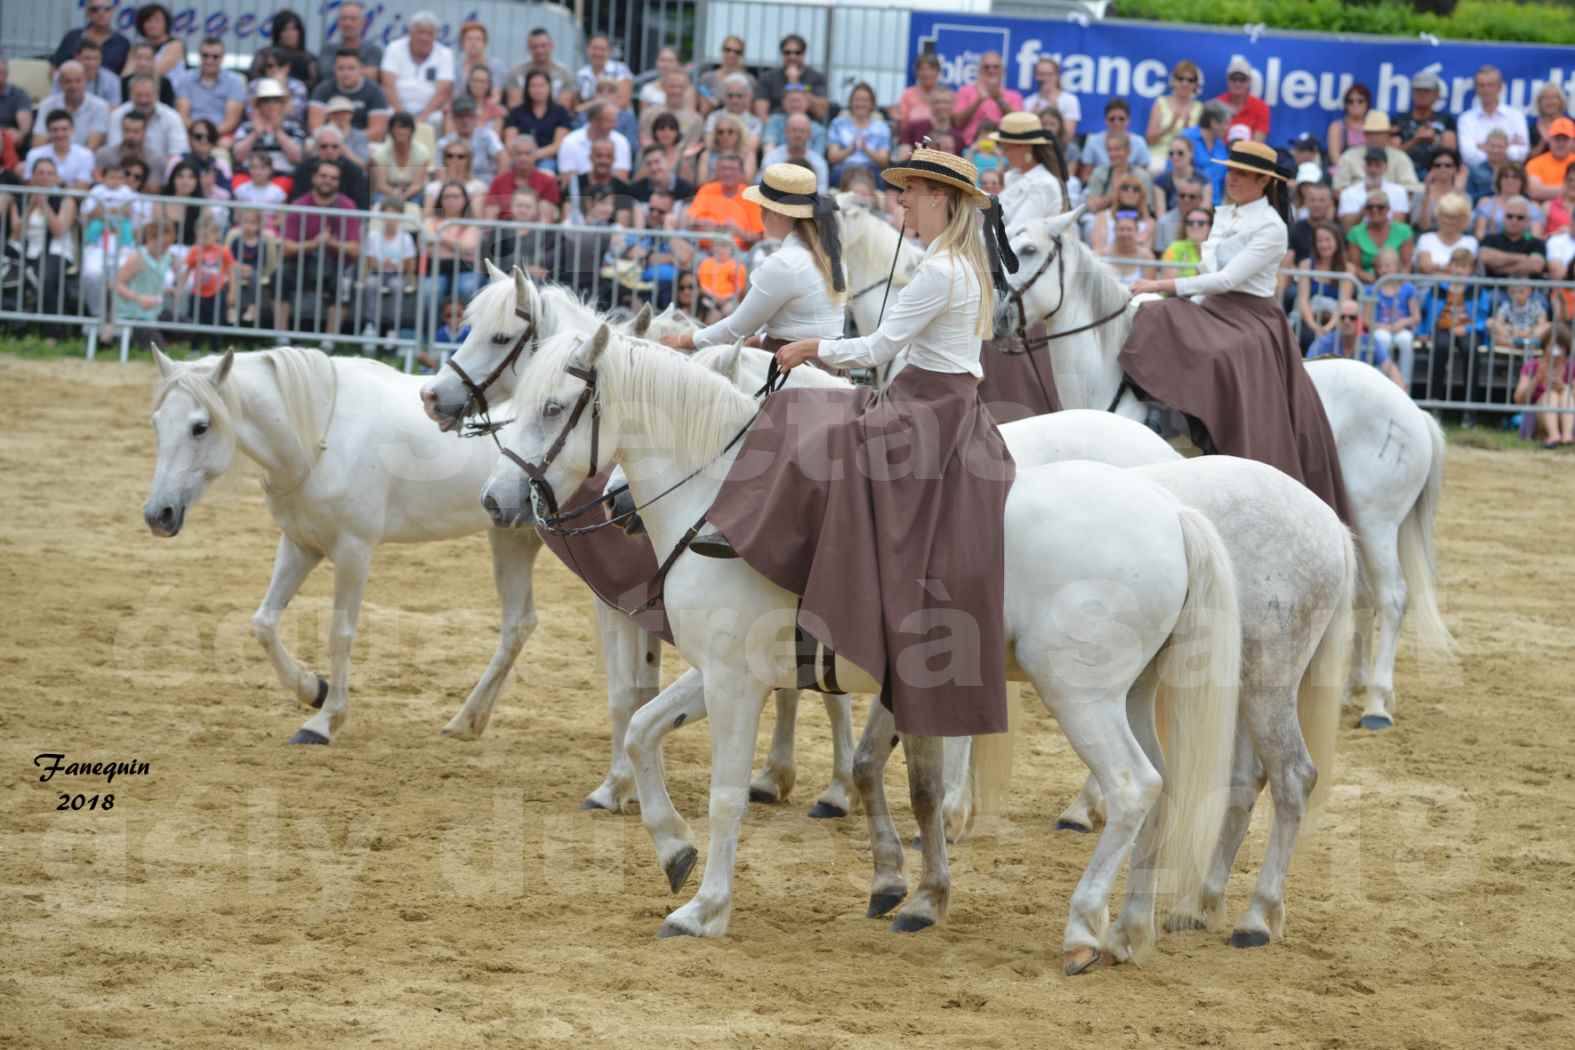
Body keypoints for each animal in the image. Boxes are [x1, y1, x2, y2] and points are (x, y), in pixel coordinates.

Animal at [143, 349, 548, 743]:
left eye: (200, 426)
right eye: (157, 423)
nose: (158, 514)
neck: (319, 437)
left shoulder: (354, 550)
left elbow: (340, 633)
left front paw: (324, 722)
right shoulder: (300, 546)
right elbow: (263, 624)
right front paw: (313, 689)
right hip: (511, 537)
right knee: (518, 625)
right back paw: (467, 721)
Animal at [415, 264, 863, 818]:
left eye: (499, 337)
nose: (431, 396)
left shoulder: (617, 601)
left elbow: (624, 694)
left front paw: (615, 786)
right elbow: (644, 691)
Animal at [478, 329, 1241, 976]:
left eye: (553, 407)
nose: (495, 498)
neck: (721, 503)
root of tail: (1172, 513)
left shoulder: (732, 681)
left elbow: (727, 796)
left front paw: (705, 908)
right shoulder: (728, 672)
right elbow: (642, 731)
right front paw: (673, 849)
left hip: (1079, 693)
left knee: (1132, 786)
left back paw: (1084, 927)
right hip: (1132, 694)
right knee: (1163, 787)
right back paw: (1129, 930)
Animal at [696, 343, 1360, 950]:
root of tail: (1326, 522)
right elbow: (879, 763)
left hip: (1257, 679)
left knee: (1285, 777)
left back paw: (1247, 915)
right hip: (1231, 685)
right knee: (1239, 782)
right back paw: (1194, 905)